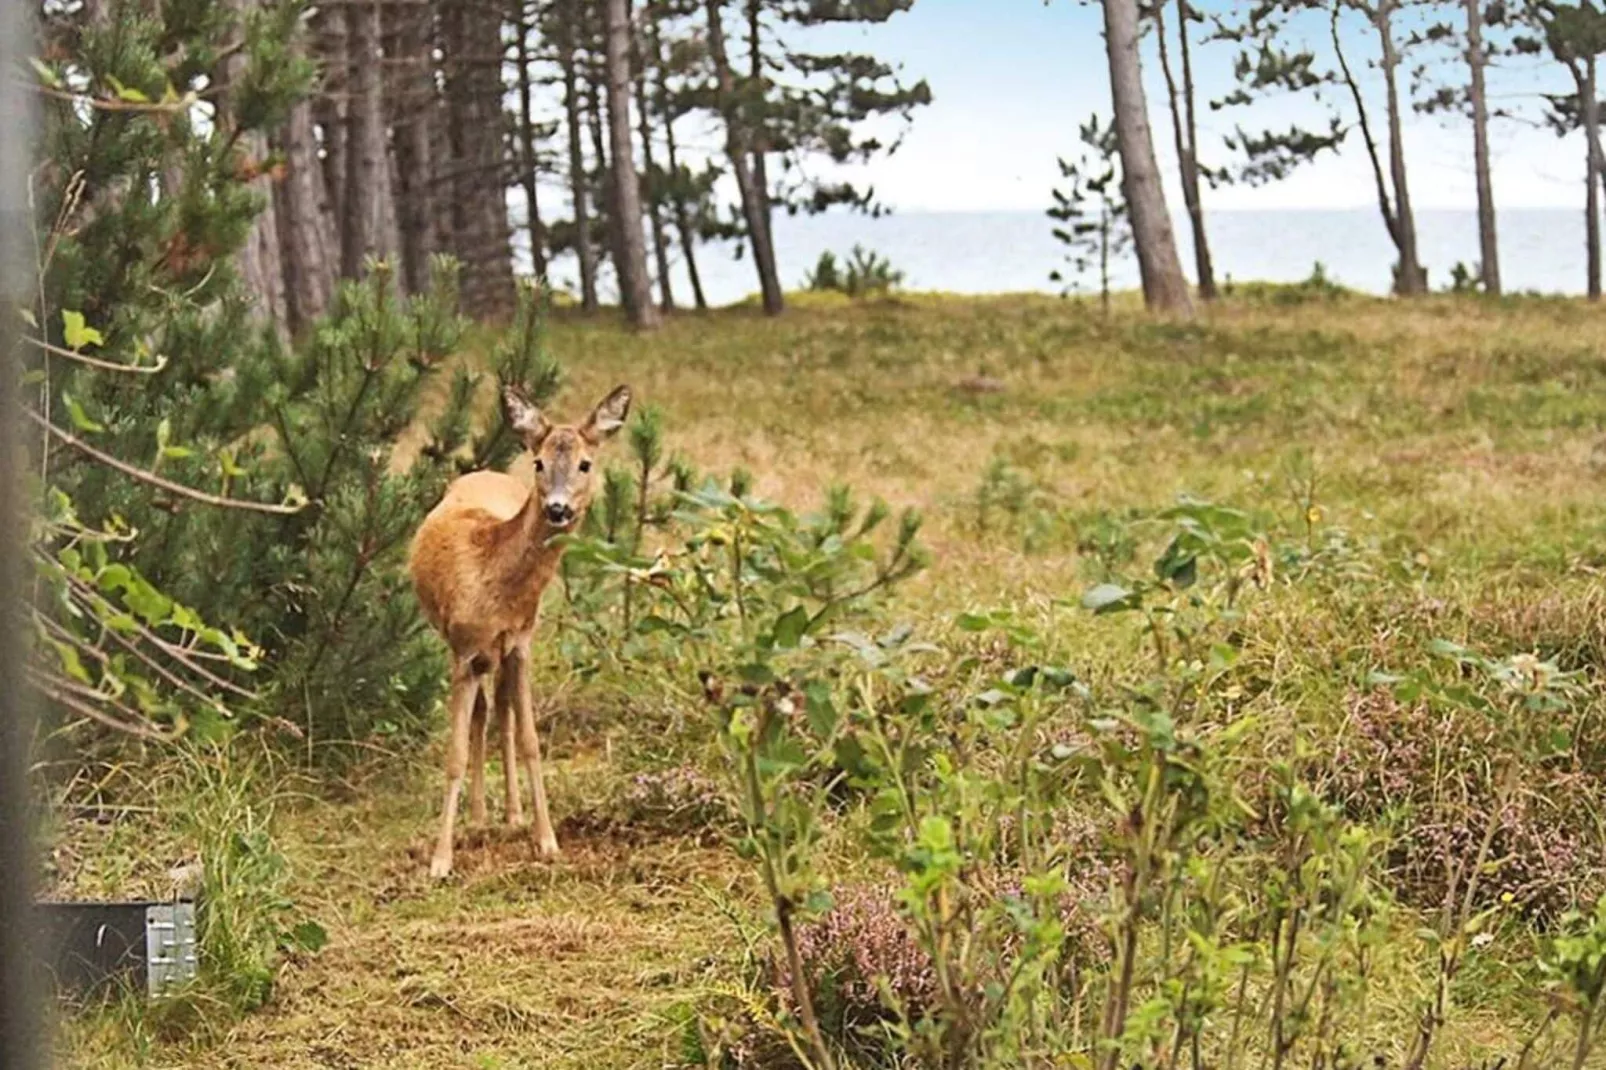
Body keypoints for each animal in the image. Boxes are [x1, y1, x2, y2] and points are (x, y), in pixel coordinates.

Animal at [404, 383, 629, 873]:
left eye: (585, 463)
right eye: (539, 462)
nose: (558, 508)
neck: (492, 580)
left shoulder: (522, 642)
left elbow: (529, 739)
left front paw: (546, 840)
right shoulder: (464, 649)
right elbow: (454, 753)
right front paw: (441, 860)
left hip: (506, 650)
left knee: (502, 711)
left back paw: (511, 814)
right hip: (470, 650)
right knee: (484, 712)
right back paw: (478, 816)